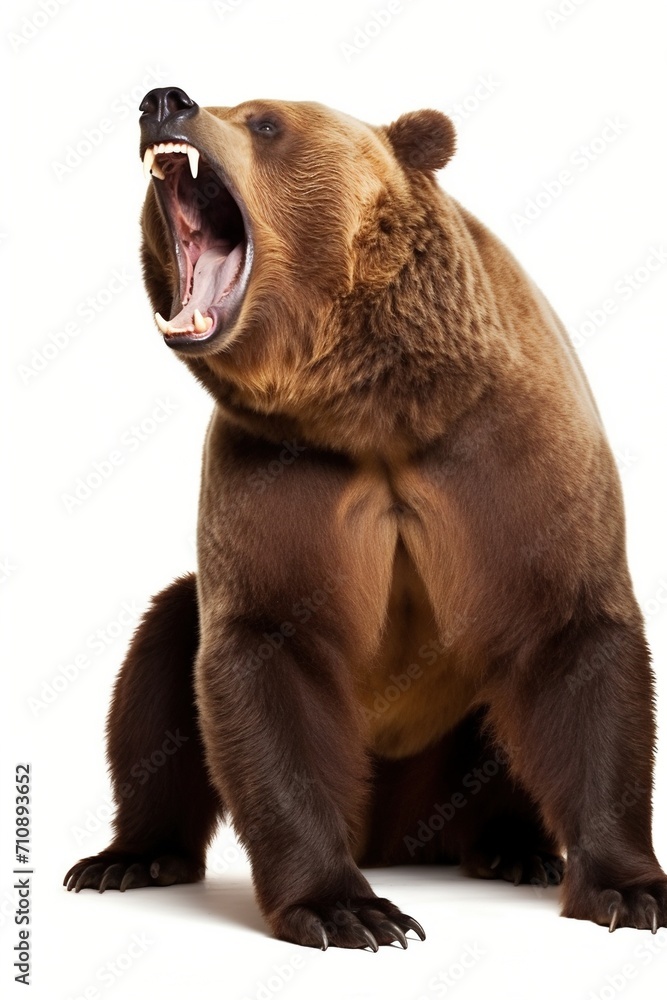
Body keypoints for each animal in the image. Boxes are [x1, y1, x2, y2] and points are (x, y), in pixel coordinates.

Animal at [64, 87, 666, 948]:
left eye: (265, 122)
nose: (163, 101)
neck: (374, 413)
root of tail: (396, 836)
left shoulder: (504, 449)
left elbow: (571, 632)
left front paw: (627, 889)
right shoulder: (279, 472)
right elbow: (264, 651)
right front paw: (346, 908)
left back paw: (513, 848)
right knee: (161, 653)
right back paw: (129, 857)